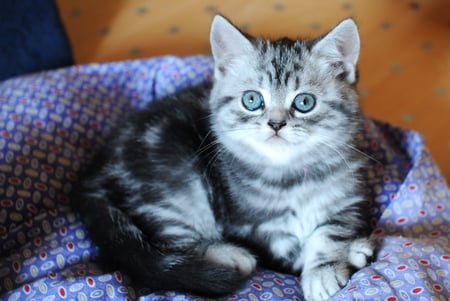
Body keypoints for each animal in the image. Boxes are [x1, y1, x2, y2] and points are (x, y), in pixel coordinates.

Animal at [74, 15, 374, 300]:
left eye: (304, 102)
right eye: (252, 100)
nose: (276, 124)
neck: (289, 176)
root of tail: (92, 176)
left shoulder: (348, 198)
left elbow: (333, 229)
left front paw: (335, 259)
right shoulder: (249, 226)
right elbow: (286, 253)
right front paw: (324, 271)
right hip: (172, 182)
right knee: (168, 243)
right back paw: (229, 254)